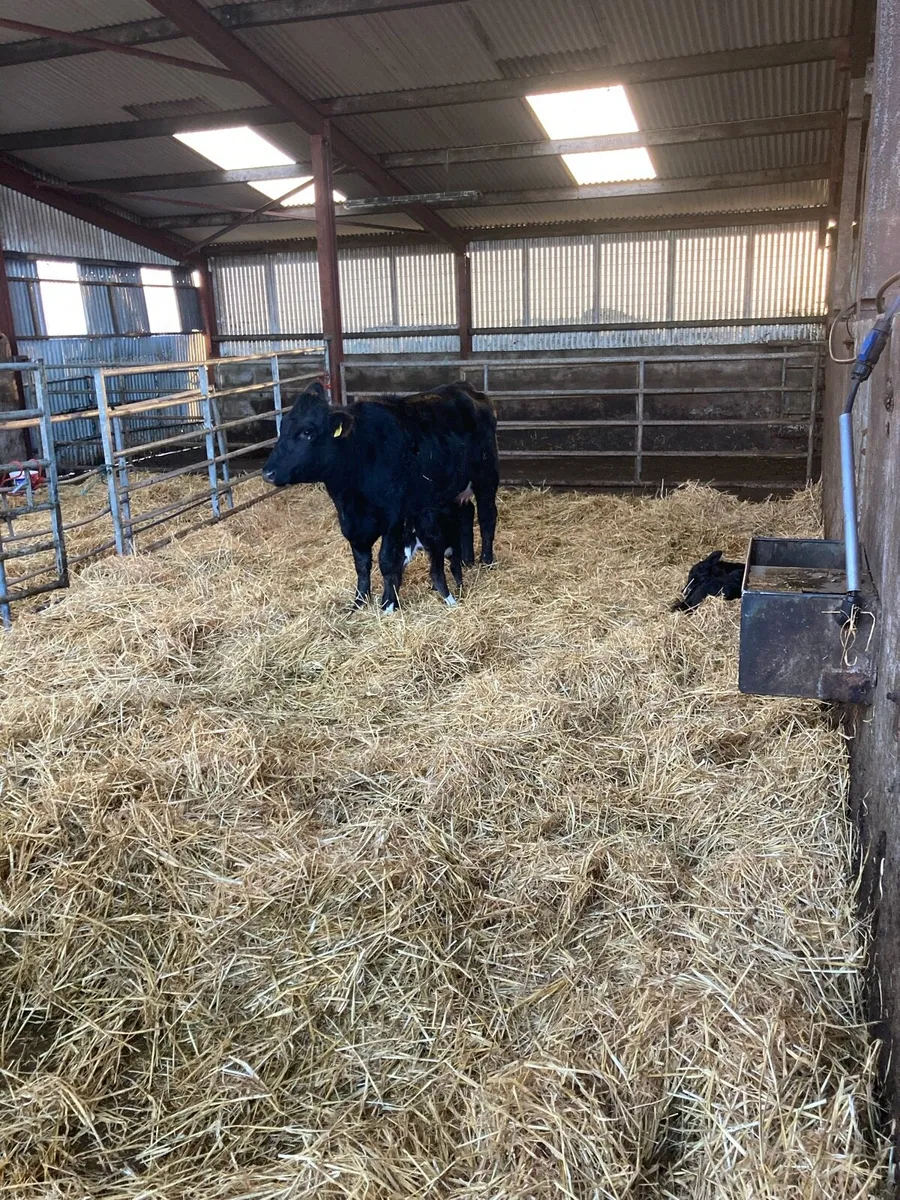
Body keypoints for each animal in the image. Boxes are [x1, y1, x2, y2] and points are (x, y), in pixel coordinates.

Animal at [262, 380, 499, 611]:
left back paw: (487, 561)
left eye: (307, 432)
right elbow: (361, 563)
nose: (268, 473)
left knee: (487, 516)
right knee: (466, 513)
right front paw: (358, 601)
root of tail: (466, 388)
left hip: (486, 479)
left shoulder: (393, 519)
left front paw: (388, 603)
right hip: (454, 490)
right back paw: (467, 560)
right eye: (283, 427)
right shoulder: (351, 524)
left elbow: (386, 560)